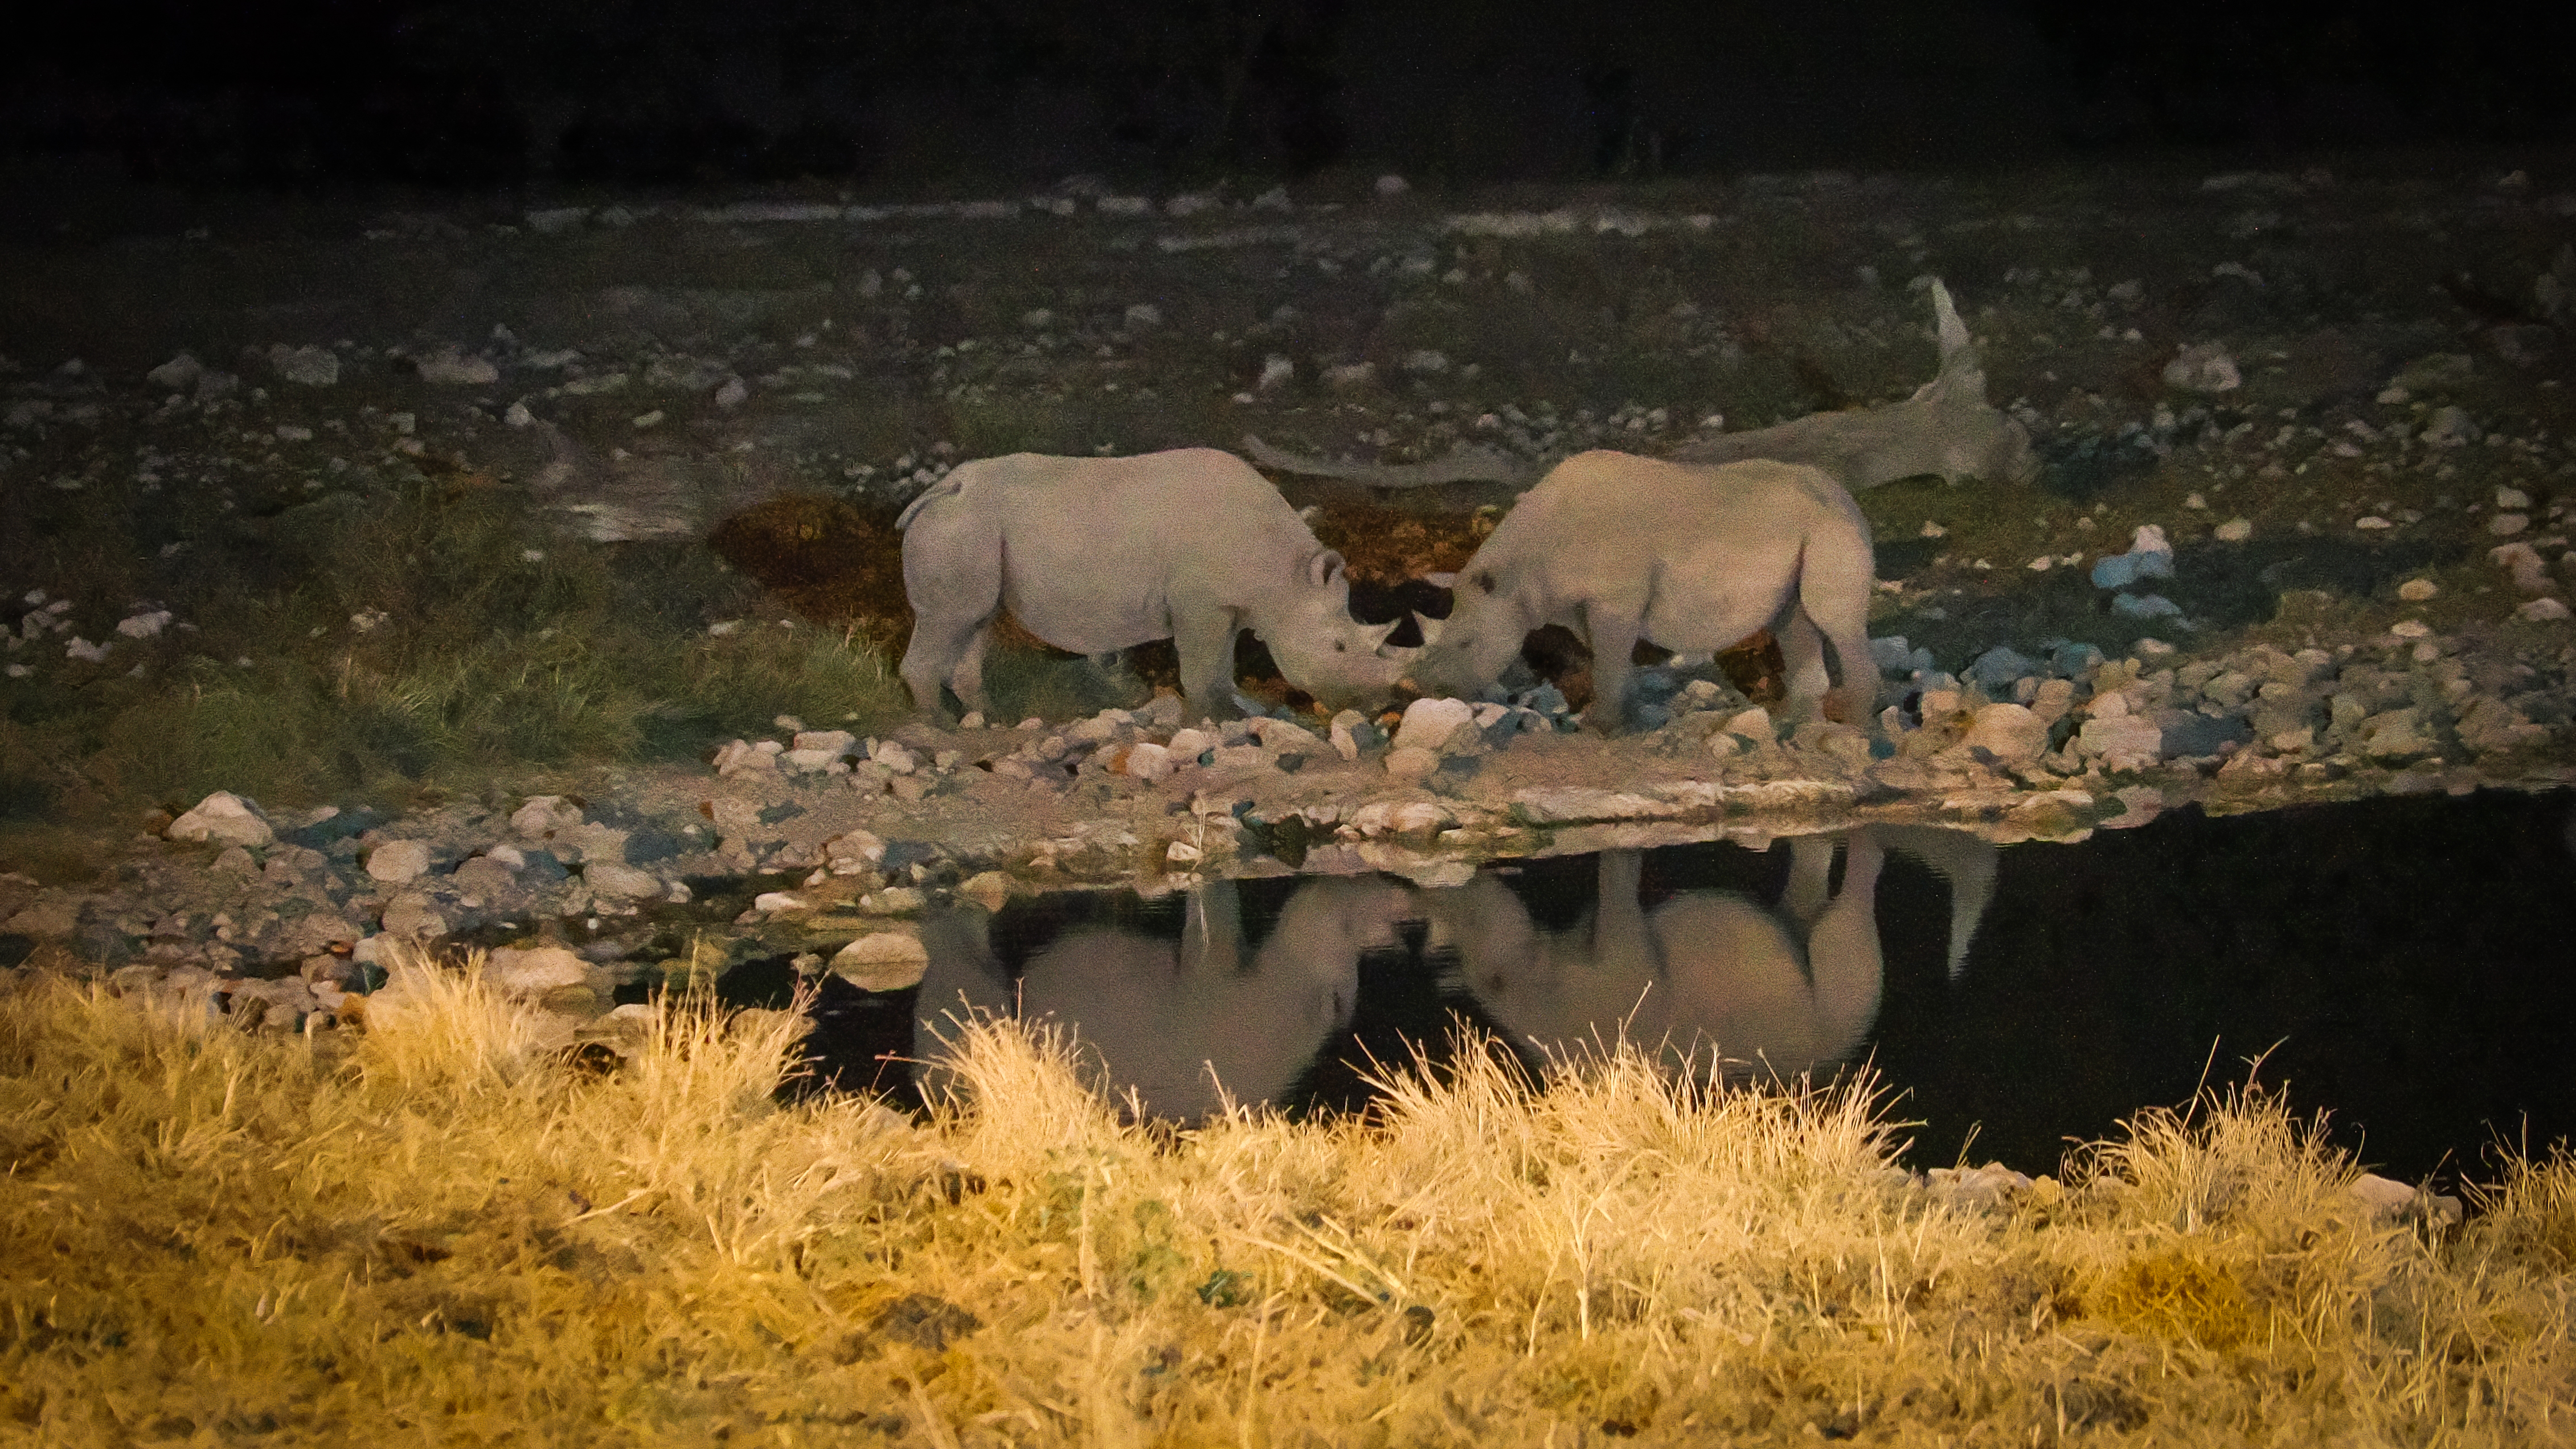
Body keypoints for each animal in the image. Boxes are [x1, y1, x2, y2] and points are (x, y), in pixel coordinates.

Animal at [896, 448, 1409, 721]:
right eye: (1339, 647)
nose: (1378, 706)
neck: (1285, 578)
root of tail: (944, 488)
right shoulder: (1200, 602)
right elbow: (1202, 670)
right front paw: (1207, 722)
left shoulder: (1227, 606)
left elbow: (1221, 668)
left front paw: (1232, 716)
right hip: (962, 525)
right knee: (952, 618)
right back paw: (940, 728)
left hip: (970, 526)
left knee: (976, 620)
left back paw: (993, 723)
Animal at [1406, 452, 1878, 732]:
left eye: (1467, 644)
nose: (1430, 689)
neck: (1521, 572)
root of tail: (1845, 495)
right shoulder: (1584, 604)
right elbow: (1608, 658)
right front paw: (1623, 719)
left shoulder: (1614, 598)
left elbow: (1609, 659)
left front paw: (1598, 727)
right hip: (1807, 528)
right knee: (1794, 621)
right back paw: (1794, 726)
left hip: (1831, 528)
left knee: (1832, 620)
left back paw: (1850, 728)